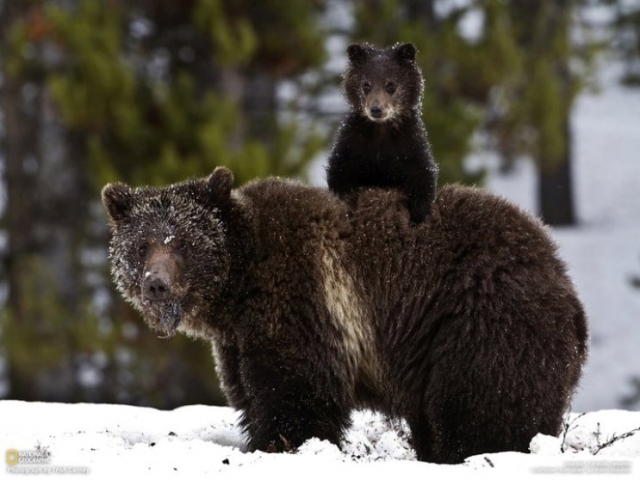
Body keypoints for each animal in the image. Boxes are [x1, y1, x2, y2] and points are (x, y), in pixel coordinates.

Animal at [102, 167, 588, 464]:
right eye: (142, 245)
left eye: (182, 242)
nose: (156, 283)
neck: (238, 288)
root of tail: (559, 269)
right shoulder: (238, 339)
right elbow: (250, 393)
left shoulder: (302, 300)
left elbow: (295, 393)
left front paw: (283, 446)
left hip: (481, 320)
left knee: (483, 404)